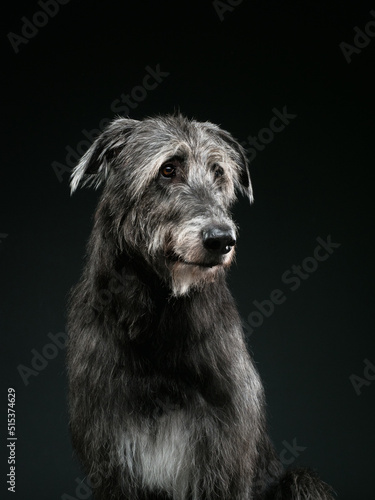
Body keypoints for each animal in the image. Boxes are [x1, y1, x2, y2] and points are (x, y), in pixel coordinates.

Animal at [67, 115, 334, 498]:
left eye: (218, 172)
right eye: (167, 169)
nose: (222, 239)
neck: (159, 321)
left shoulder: (225, 457)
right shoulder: (112, 460)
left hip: (302, 481)